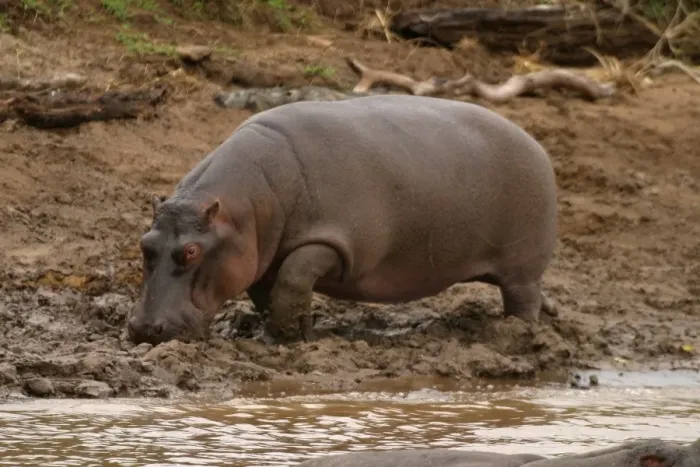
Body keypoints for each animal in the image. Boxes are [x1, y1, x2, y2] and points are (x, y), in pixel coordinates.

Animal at [127, 94, 558, 346]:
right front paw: (288, 333)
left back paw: (519, 334)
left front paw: (289, 337)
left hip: (522, 267)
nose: (145, 329)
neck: (249, 201)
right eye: (144, 243)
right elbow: (271, 291)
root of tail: (534, 142)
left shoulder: (336, 242)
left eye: (191, 251)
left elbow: (295, 275)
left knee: (523, 300)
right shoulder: (260, 253)